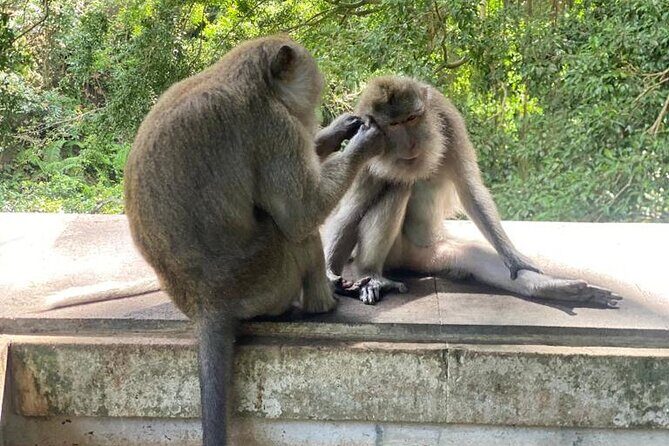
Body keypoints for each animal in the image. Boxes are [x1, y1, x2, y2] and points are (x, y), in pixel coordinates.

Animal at [122, 36, 384, 445]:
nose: (315, 111)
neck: (248, 79)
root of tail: (205, 305)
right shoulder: (273, 127)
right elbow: (300, 213)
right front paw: (363, 142)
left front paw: (339, 130)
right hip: (265, 278)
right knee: (293, 233)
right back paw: (322, 303)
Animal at [323, 75, 621, 308]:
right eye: (395, 125)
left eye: (412, 118)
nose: (410, 144)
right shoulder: (365, 146)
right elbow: (351, 210)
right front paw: (330, 275)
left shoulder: (447, 119)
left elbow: (470, 190)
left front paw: (515, 259)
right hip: (396, 253)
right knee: (396, 186)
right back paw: (371, 273)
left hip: (429, 253)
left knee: (470, 256)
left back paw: (550, 287)